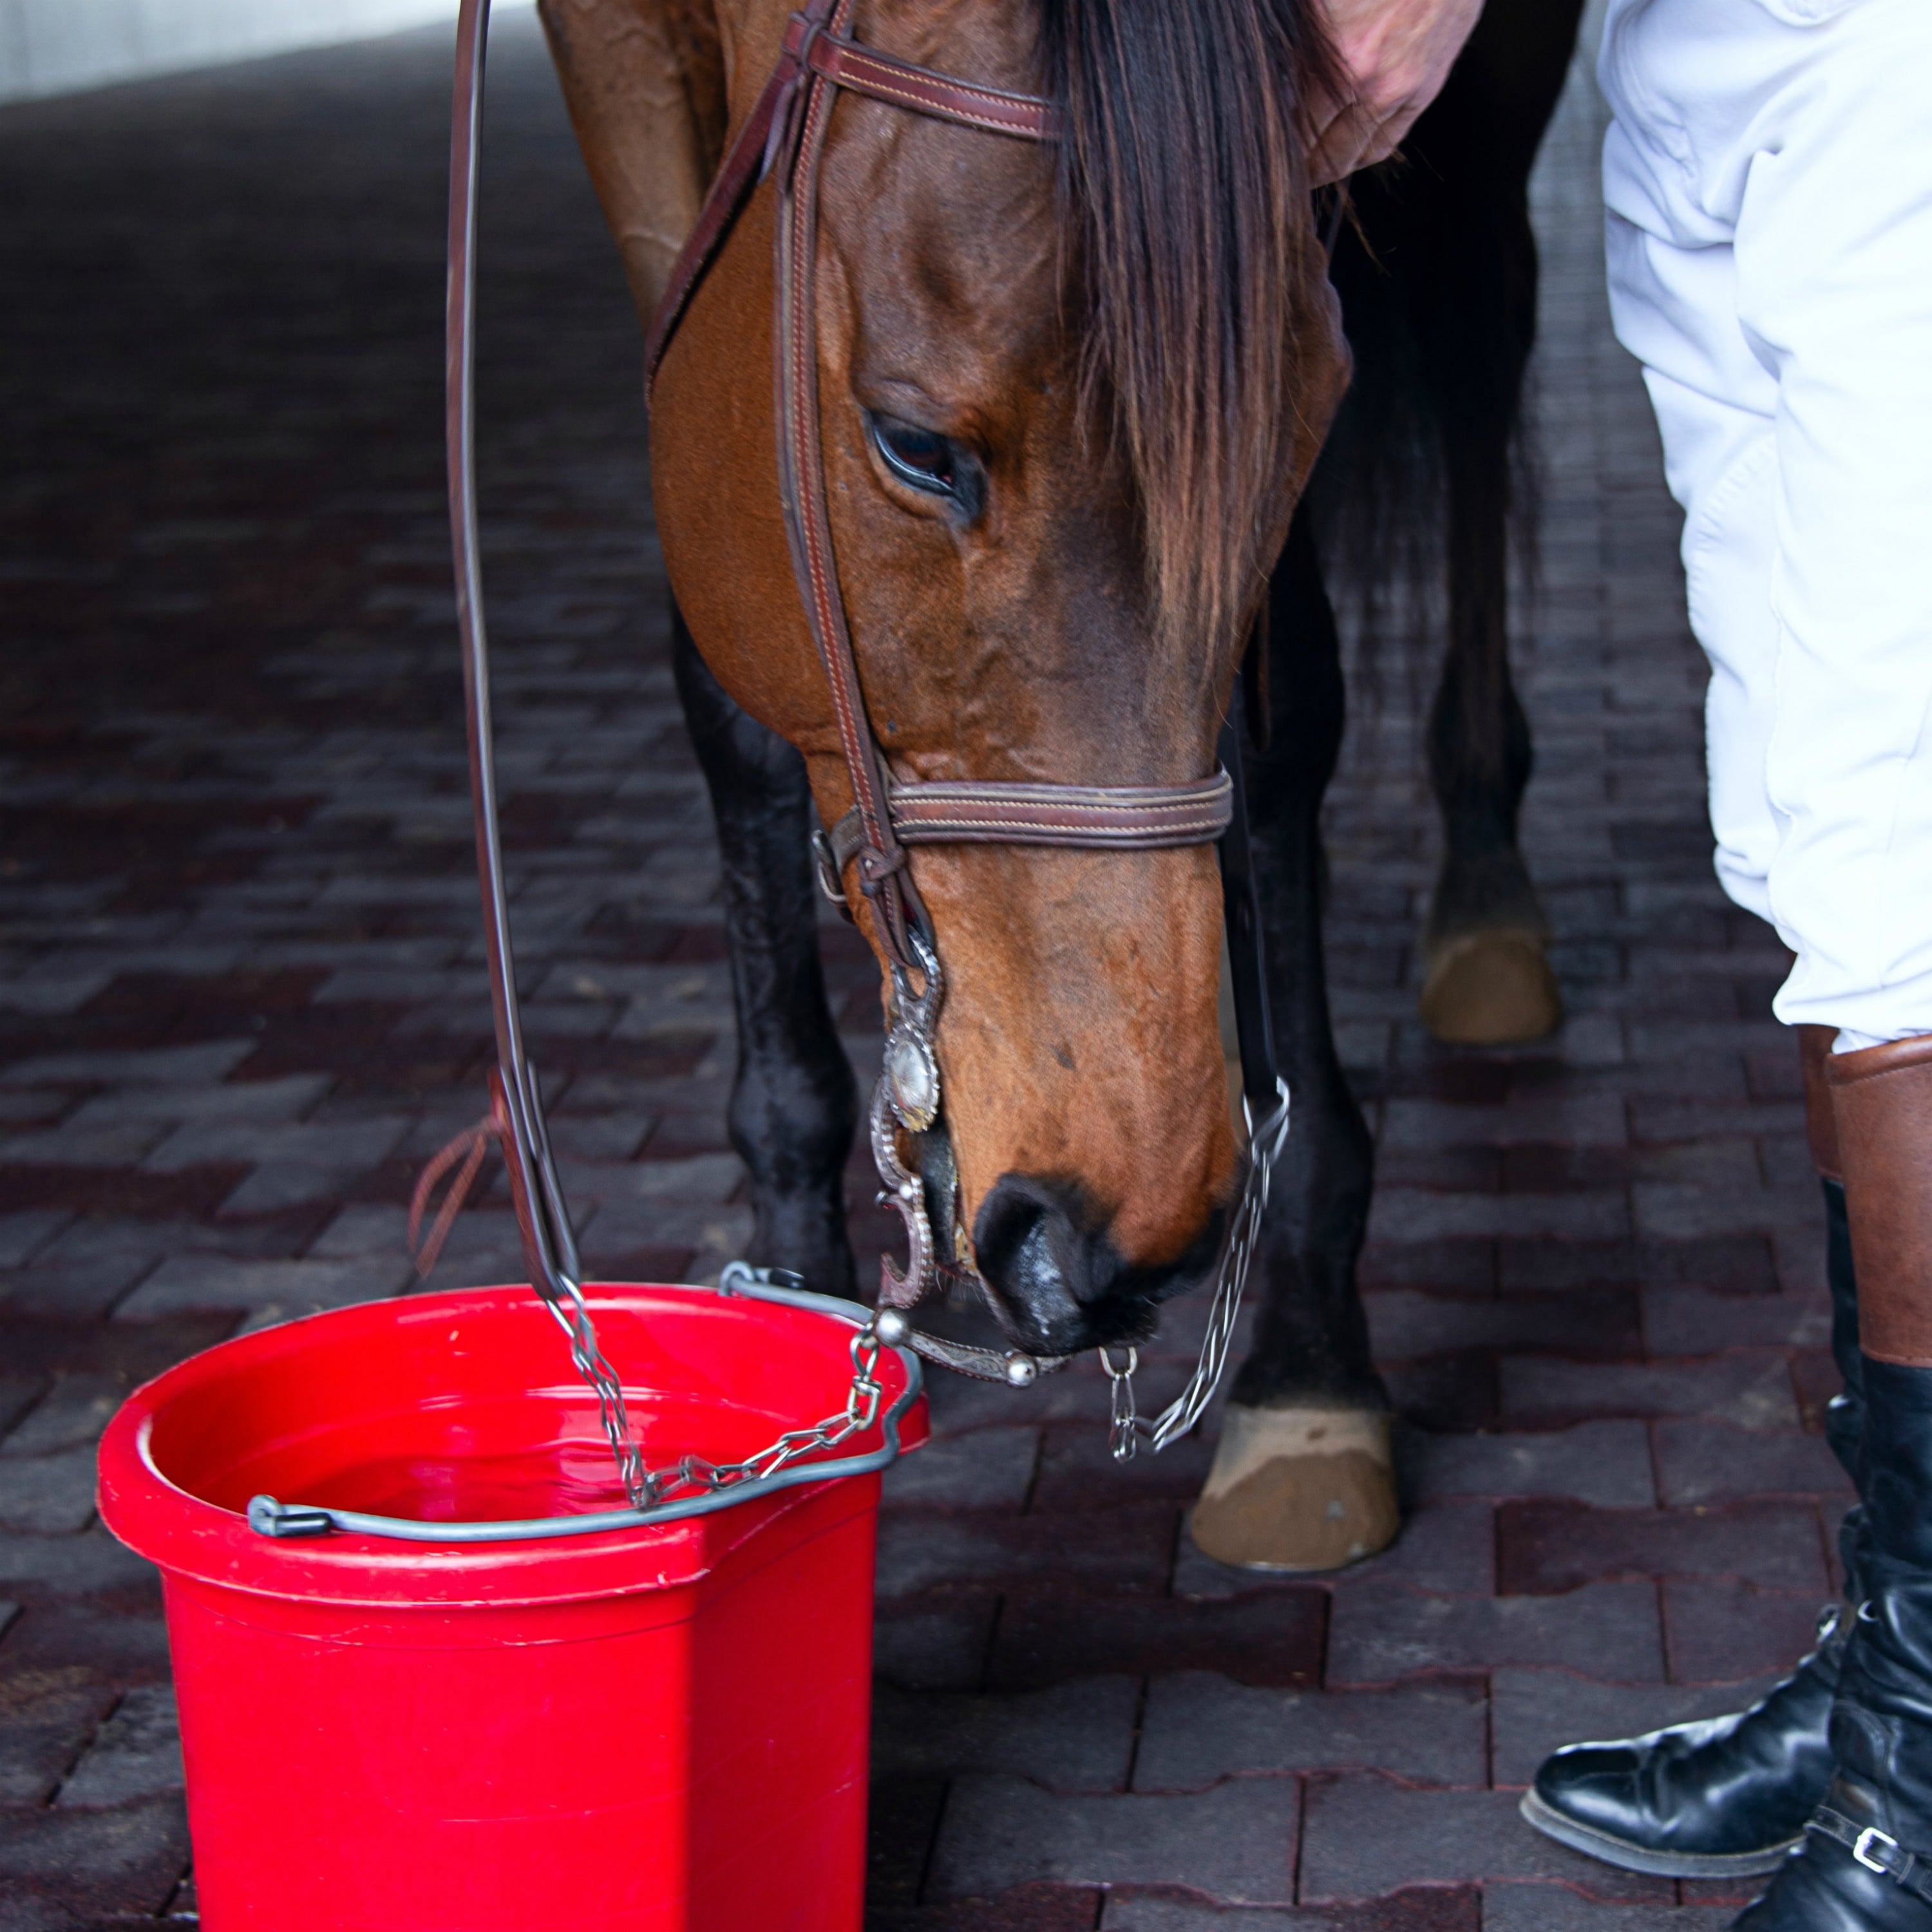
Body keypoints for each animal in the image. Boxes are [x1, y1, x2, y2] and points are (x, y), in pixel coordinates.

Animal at [538, 0, 1584, 1571]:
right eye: (914, 444)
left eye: (1303, 426)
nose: (1110, 1237)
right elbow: (730, 711)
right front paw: (785, 1272)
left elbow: (1279, 725)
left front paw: (1310, 1361)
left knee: (1484, 328)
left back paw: (1483, 874)